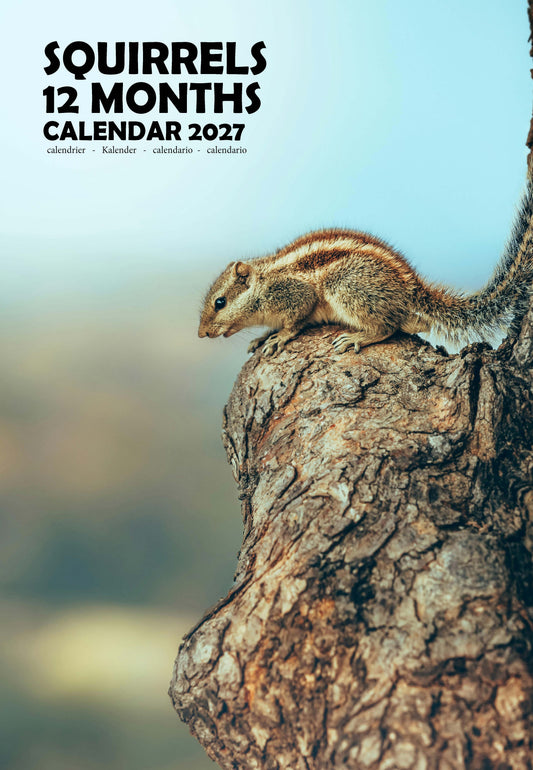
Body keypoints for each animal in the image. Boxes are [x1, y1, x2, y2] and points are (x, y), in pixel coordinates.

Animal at [198, 181, 533, 356]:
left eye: (220, 302)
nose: (202, 334)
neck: (264, 283)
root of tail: (410, 285)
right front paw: (261, 337)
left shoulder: (294, 295)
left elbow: (295, 321)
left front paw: (279, 337)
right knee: (417, 323)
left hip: (345, 285)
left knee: (387, 327)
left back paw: (357, 338)